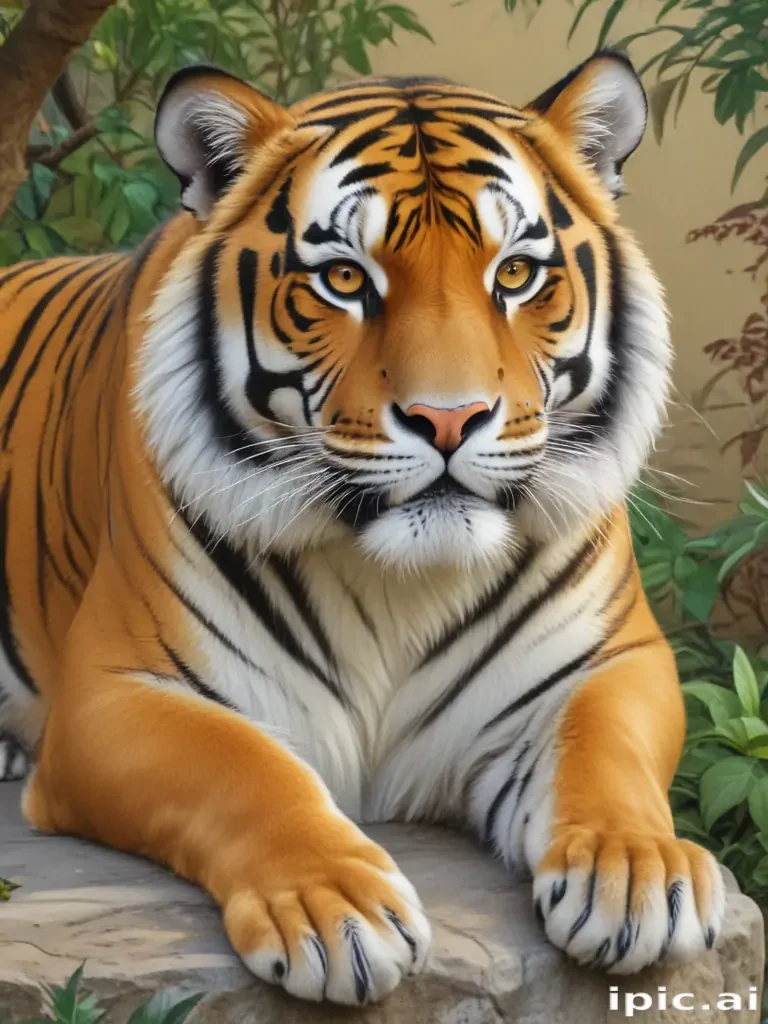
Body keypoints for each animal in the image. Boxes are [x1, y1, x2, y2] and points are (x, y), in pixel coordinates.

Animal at [0, 50, 725, 1004]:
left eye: (515, 275)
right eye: (344, 279)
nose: (449, 419)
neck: (398, 583)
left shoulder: (613, 659)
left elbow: (606, 751)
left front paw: (639, 874)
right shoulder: (113, 694)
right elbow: (244, 769)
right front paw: (334, 909)